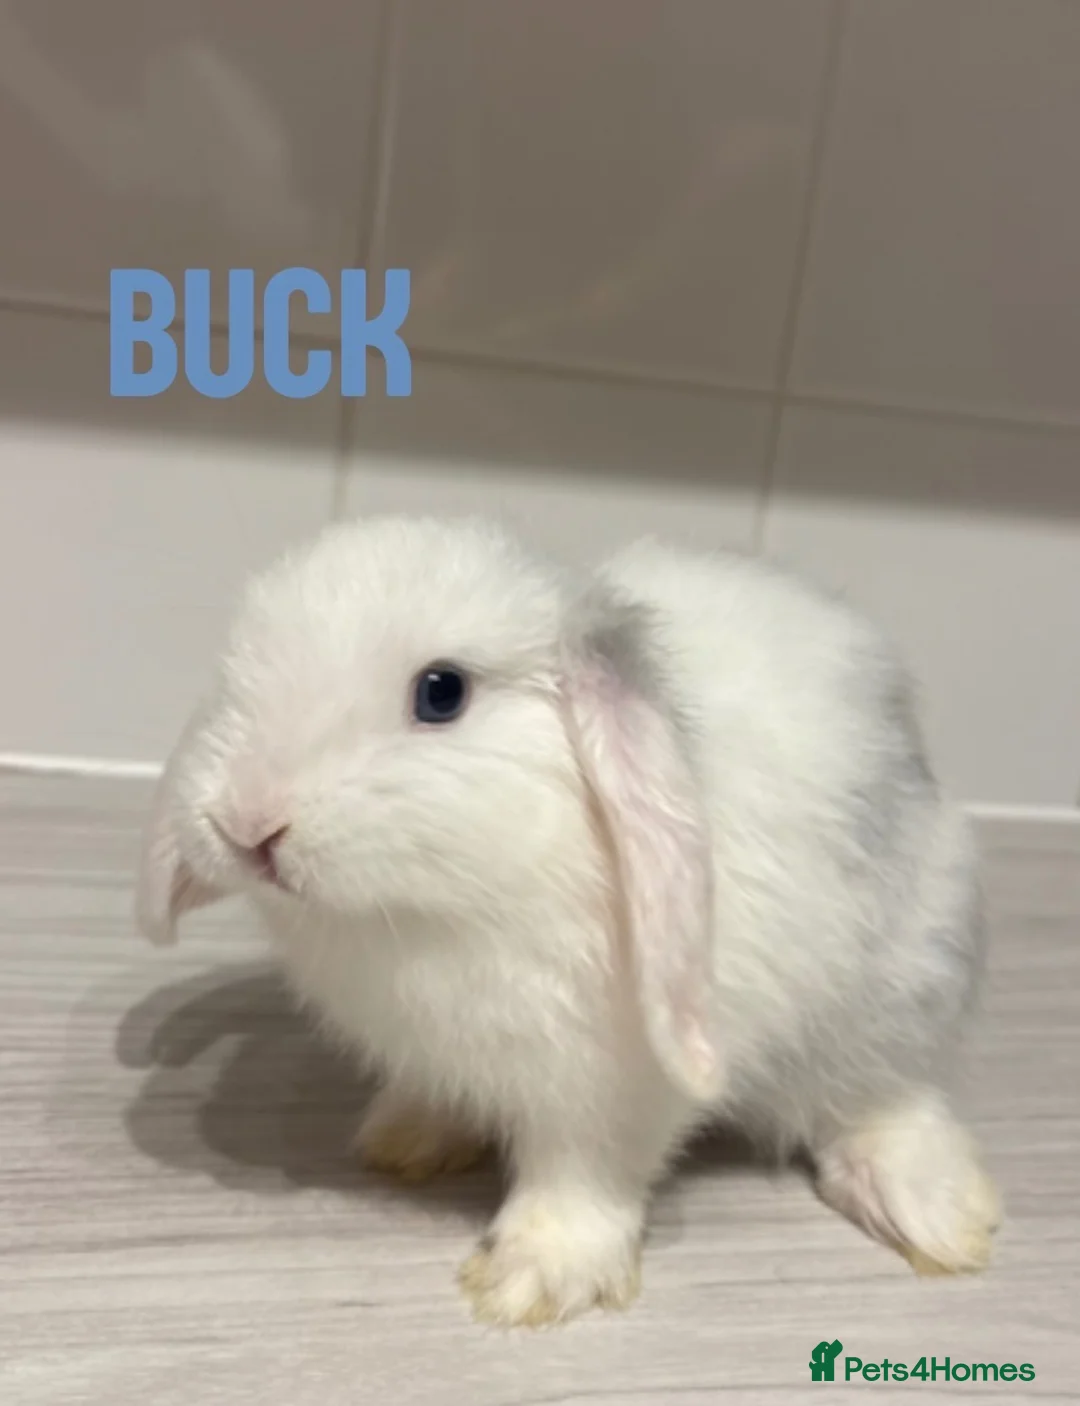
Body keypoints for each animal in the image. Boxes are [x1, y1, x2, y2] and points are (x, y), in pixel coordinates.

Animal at [136, 514, 1000, 1327]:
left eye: (441, 693)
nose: (247, 825)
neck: (435, 911)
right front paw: (406, 1139)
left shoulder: (610, 1092)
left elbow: (584, 1177)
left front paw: (530, 1283)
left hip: (898, 989)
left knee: (881, 1103)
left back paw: (937, 1218)